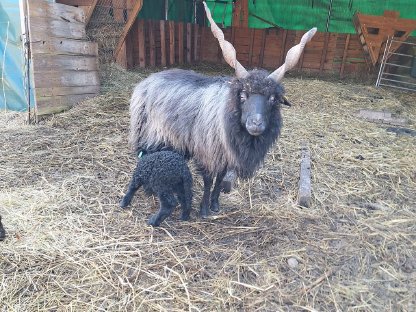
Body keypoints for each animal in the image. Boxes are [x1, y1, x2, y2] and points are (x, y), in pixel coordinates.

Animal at [128, 2, 316, 217]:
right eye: (243, 95)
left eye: (272, 98)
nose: (256, 123)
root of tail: (148, 79)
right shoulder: (208, 152)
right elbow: (209, 181)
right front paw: (204, 210)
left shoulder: (225, 155)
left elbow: (219, 180)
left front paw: (215, 204)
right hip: (147, 130)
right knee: (144, 155)